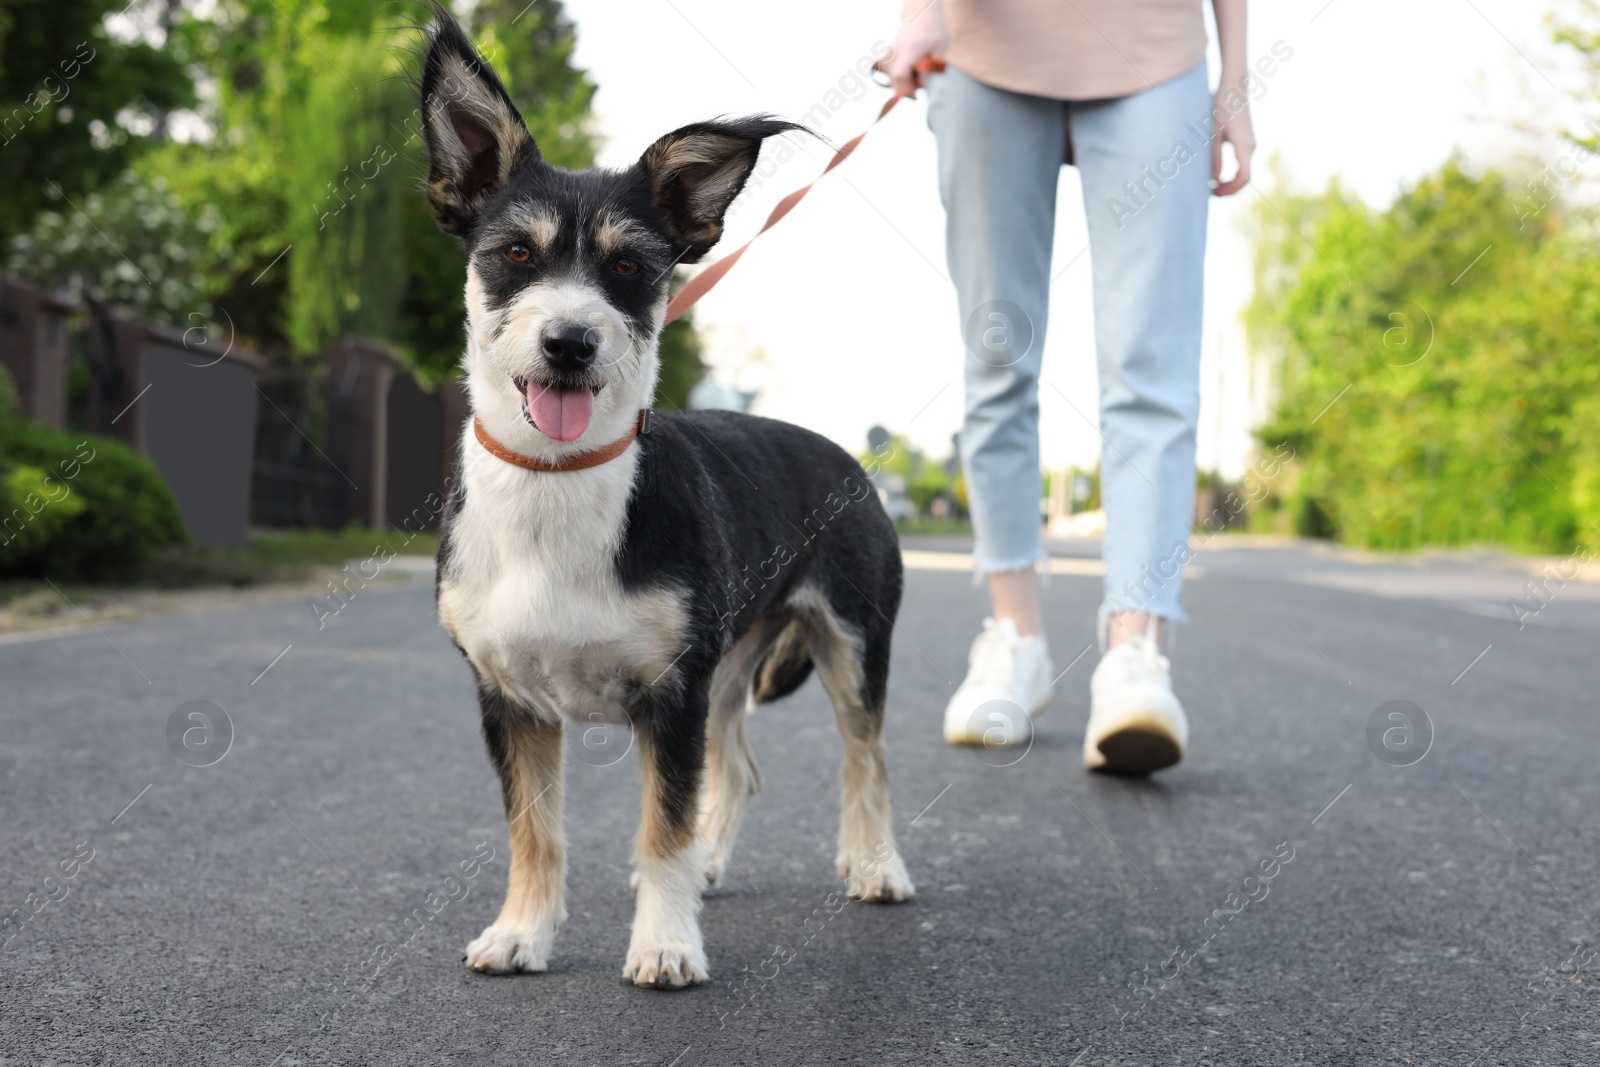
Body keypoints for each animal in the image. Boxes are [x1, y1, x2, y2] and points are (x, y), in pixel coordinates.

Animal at [416, 10, 915, 991]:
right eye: (515, 254)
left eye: (631, 266)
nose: (570, 342)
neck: (557, 485)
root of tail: (846, 455)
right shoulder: (512, 702)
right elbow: (537, 833)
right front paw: (522, 932)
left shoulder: (671, 698)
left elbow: (661, 828)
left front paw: (665, 944)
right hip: (731, 661)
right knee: (743, 769)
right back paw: (715, 866)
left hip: (850, 638)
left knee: (865, 758)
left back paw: (875, 864)